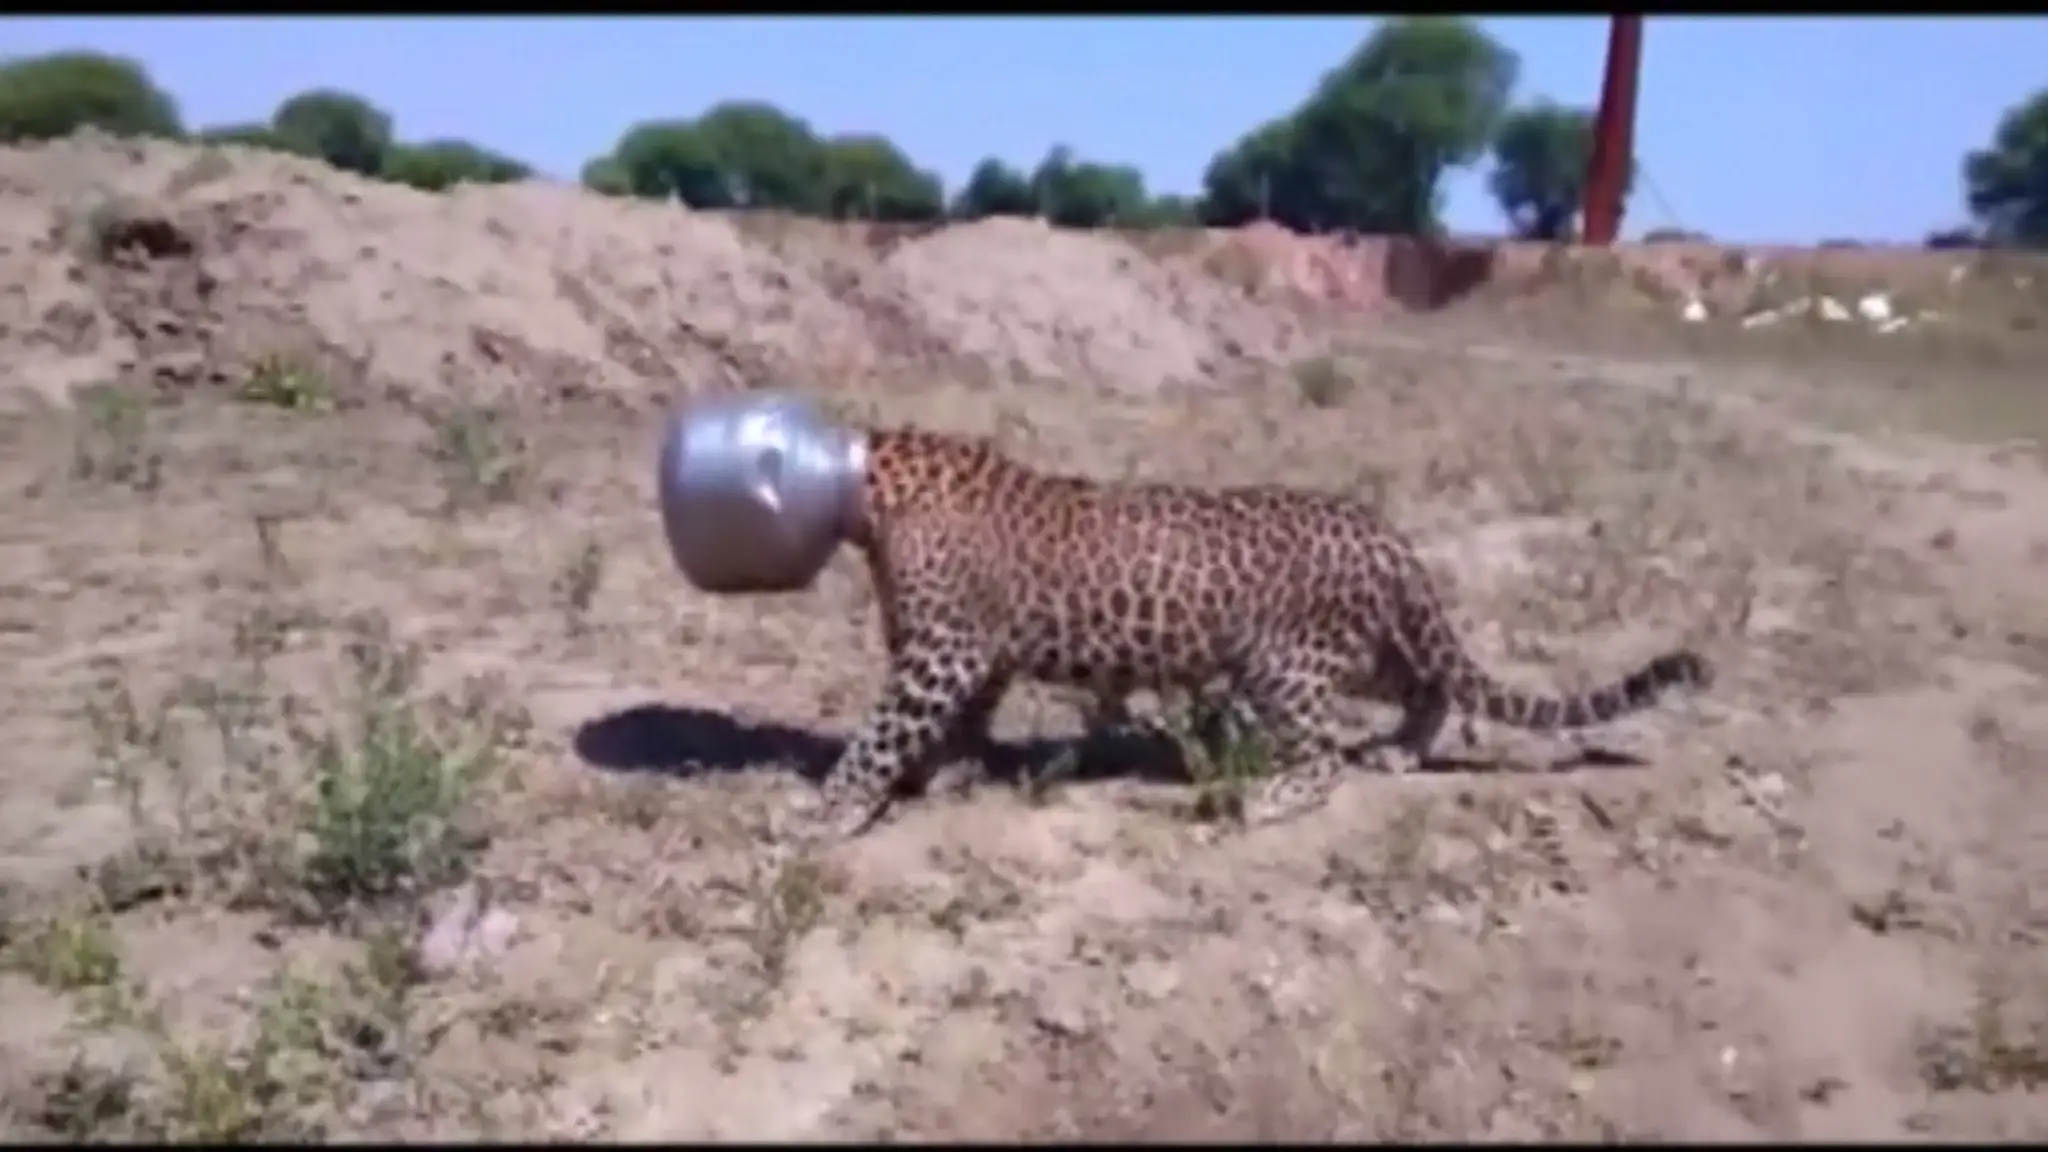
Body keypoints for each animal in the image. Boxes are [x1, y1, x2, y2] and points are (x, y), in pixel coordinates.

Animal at [798, 425, 1712, 843]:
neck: (873, 488)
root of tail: (1384, 533)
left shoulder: (942, 651)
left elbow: (883, 733)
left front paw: (832, 808)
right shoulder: (973, 650)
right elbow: (962, 716)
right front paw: (945, 769)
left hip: (1282, 664)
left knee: (1323, 759)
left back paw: (1262, 798)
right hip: (1357, 649)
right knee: (1427, 686)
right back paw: (1401, 751)